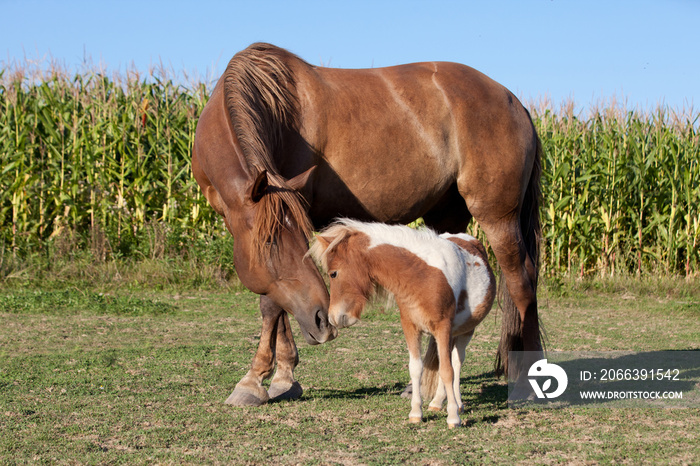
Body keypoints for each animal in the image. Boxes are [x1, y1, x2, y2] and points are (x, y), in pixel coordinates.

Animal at [194, 41, 544, 406]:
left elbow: (271, 304)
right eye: (268, 243)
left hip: (497, 216)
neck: (271, 108)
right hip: (448, 215)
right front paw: (283, 376)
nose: (322, 319)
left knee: (522, 282)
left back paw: (527, 382)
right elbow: (278, 299)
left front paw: (254, 380)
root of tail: (514, 101)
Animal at [308, 220, 494, 428]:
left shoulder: (443, 328)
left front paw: (453, 417)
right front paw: (416, 413)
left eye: (333, 274)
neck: (422, 275)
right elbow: (417, 369)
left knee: (456, 363)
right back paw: (437, 403)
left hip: (465, 331)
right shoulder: (410, 327)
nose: (334, 317)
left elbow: (448, 371)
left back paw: (458, 404)